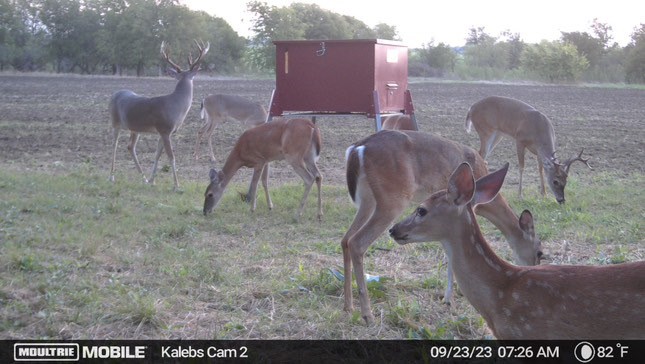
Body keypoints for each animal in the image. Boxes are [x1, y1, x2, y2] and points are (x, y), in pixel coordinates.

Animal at [108, 40, 209, 191]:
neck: (176, 107)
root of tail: (113, 94)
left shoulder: (164, 132)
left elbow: (157, 155)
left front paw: (152, 180)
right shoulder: (165, 129)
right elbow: (171, 156)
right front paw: (177, 185)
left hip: (135, 128)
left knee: (130, 147)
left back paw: (143, 178)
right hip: (115, 122)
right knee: (114, 145)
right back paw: (111, 177)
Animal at [342, 130, 544, 324]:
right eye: (540, 252)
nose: (532, 269)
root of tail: (358, 148)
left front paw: (449, 296)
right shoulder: (467, 207)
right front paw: (449, 298)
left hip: (367, 199)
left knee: (345, 239)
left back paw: (348, 306)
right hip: (392, 198)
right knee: (357, 242)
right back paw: (367, 315)